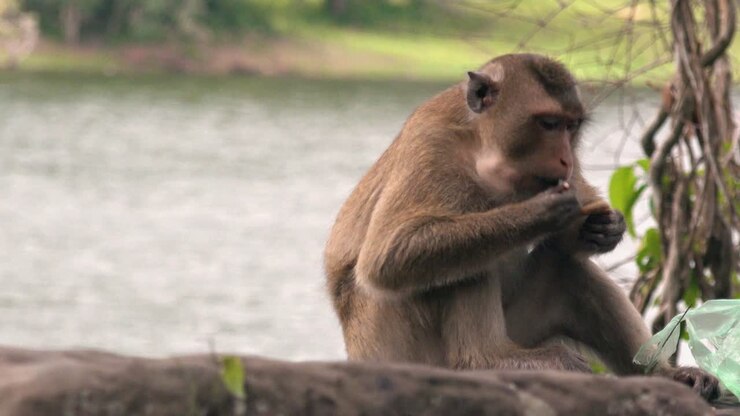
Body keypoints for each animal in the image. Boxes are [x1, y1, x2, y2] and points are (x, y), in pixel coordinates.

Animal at [324, 54, 719, 400]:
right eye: (548, 124)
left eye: (571, 126)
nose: (566, 158)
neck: (483, 147)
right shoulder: (433, 145)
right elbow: (388, 256)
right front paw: (541, 212)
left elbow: (570, 240)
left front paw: (605, 228)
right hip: (401, 350)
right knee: (459, 260)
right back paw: (485, 361)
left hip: (525, 331)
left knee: (567, 269)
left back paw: (665, 375)